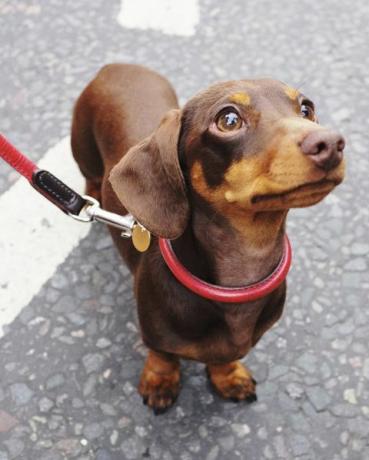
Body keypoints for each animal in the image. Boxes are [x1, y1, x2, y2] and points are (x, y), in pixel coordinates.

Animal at [70, 63, 344, 414]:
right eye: (229, 119)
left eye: (307, 108)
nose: (332, 143)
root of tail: (115, 66)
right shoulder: (155, 335)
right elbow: (163, 356)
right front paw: (160, 381)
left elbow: (224, 358)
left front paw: (228, 377)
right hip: (82, 147)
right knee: (89, 176)